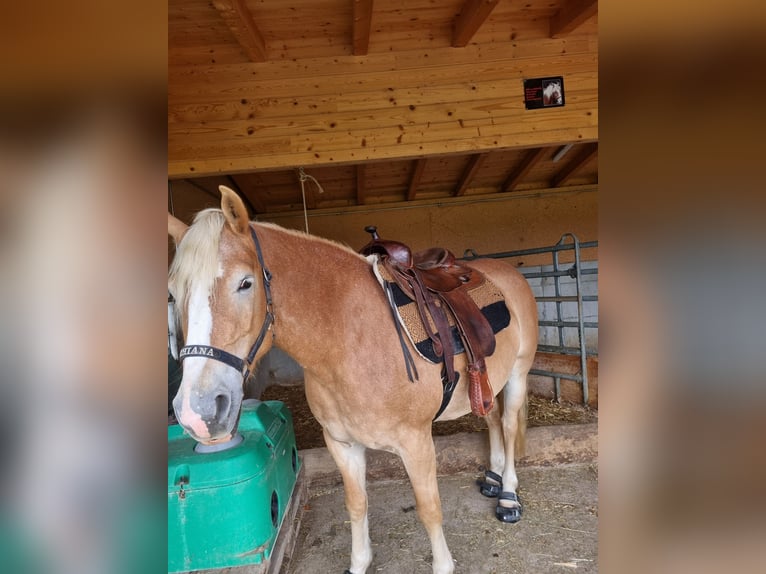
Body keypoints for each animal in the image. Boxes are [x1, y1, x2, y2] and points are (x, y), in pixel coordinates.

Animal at [168, 188, 540, 574]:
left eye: (245, 283)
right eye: (173, 293)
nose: (198, 410)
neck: (351, 341)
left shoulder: (416, 443)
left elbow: (429, 510)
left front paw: (443, 564)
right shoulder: (341, 444)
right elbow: (356, 505)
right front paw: (359, 562)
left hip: (518, 373)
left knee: (508, 425)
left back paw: (508, 495)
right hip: (487, 383)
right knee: (492, 420)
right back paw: (493, 480)